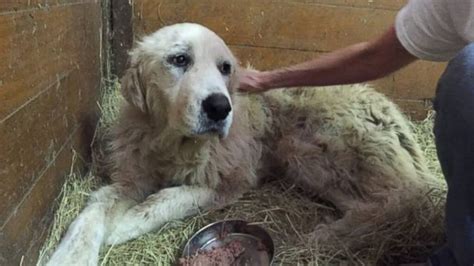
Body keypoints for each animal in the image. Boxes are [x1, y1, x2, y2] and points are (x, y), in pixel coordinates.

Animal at [46, 23, 436, 264]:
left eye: (225, 68)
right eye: (179, 59)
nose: (220, 107)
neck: (174, 142)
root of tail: (396, 118)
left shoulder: (229, 180)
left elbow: (169, 199)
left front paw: (126, 225)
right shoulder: (131, 178)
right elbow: (91, 211)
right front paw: (70, 256)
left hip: (308, 150)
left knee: (396, 201)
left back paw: (329, 235)